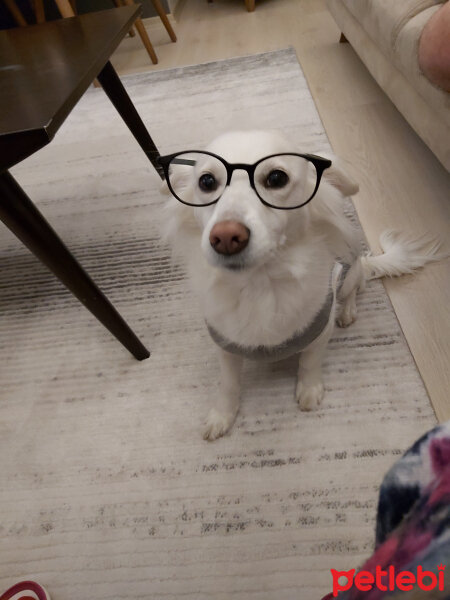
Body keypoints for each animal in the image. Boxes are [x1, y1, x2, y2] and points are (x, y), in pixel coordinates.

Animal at [159, 131, 442, 440]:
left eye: (276, 178)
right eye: (207, 182)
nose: (225, 237)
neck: (259, 284)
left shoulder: (321, 328)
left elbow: (310, 361)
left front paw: (309, 390)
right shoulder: (225, 343)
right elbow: (229, 383)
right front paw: (222, 416)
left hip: (349, 273)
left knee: (356, 288)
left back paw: (348, 312)